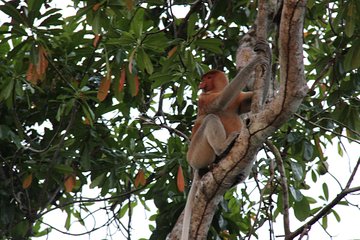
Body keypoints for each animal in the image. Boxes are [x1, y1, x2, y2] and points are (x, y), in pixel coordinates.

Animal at [181, 40, 268, 239]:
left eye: (208, 77)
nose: (201, 83)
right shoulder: (204, 98)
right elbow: (220, 102)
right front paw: (257, 61)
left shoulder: (240, 97)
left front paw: (266, 51)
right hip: (196, 154)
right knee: (210, 119)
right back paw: (223, 149)